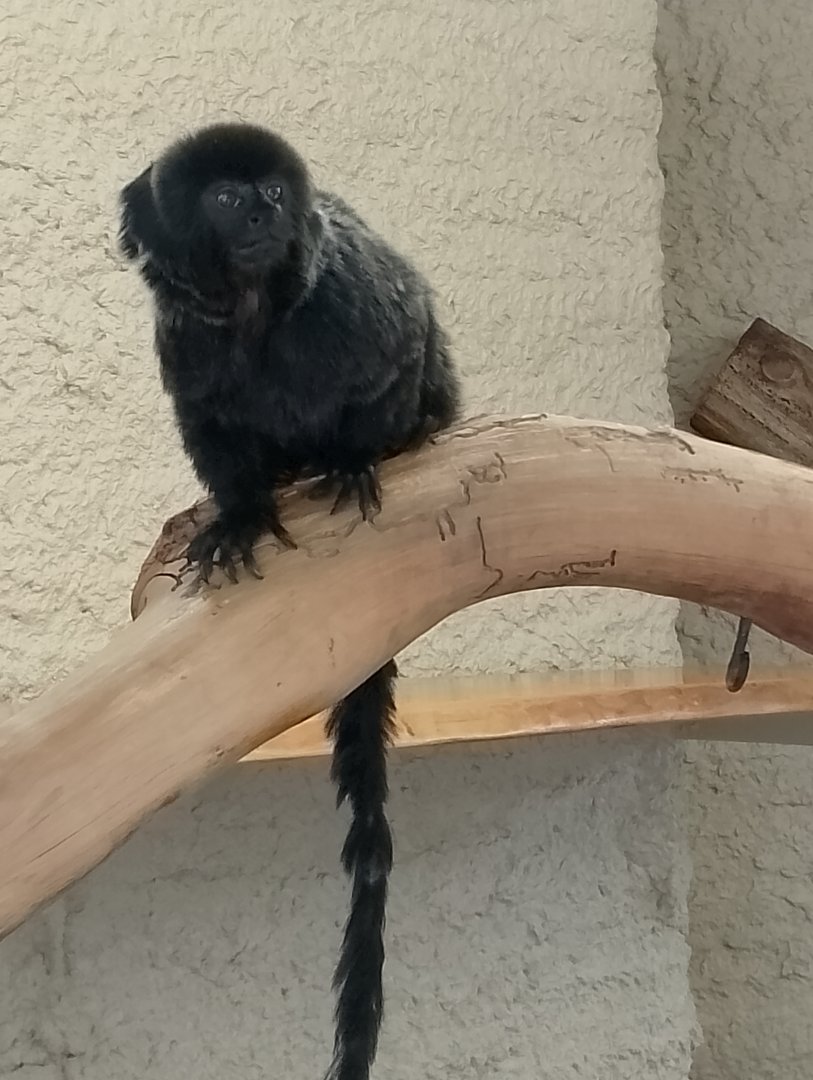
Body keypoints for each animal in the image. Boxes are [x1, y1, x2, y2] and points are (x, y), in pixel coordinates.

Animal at [119, 122, 461, 1080]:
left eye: (271, 191)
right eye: (228, 198)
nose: (263, 214)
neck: (253, 313)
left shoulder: (354, 304)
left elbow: (393, 354)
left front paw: (352, 458)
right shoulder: (184, 345)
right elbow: (214, 434)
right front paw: (239, 516)